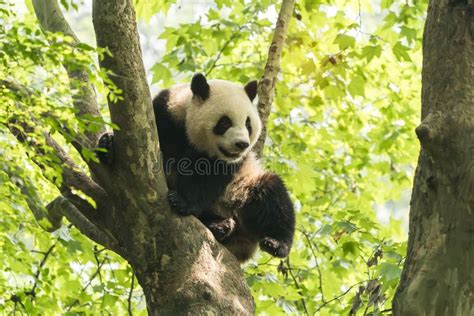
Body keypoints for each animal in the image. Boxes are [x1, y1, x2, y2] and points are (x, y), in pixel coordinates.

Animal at [98, 74, 294, 262]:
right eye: (225, 122)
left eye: (248, 124)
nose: (242, 144)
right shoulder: (165, 114)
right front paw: (108, 145)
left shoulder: (233, 163)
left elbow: (209, 179)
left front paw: (182, 200)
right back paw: (220, 225)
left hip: (243, 187)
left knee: (273, 197)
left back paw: (274, 243)